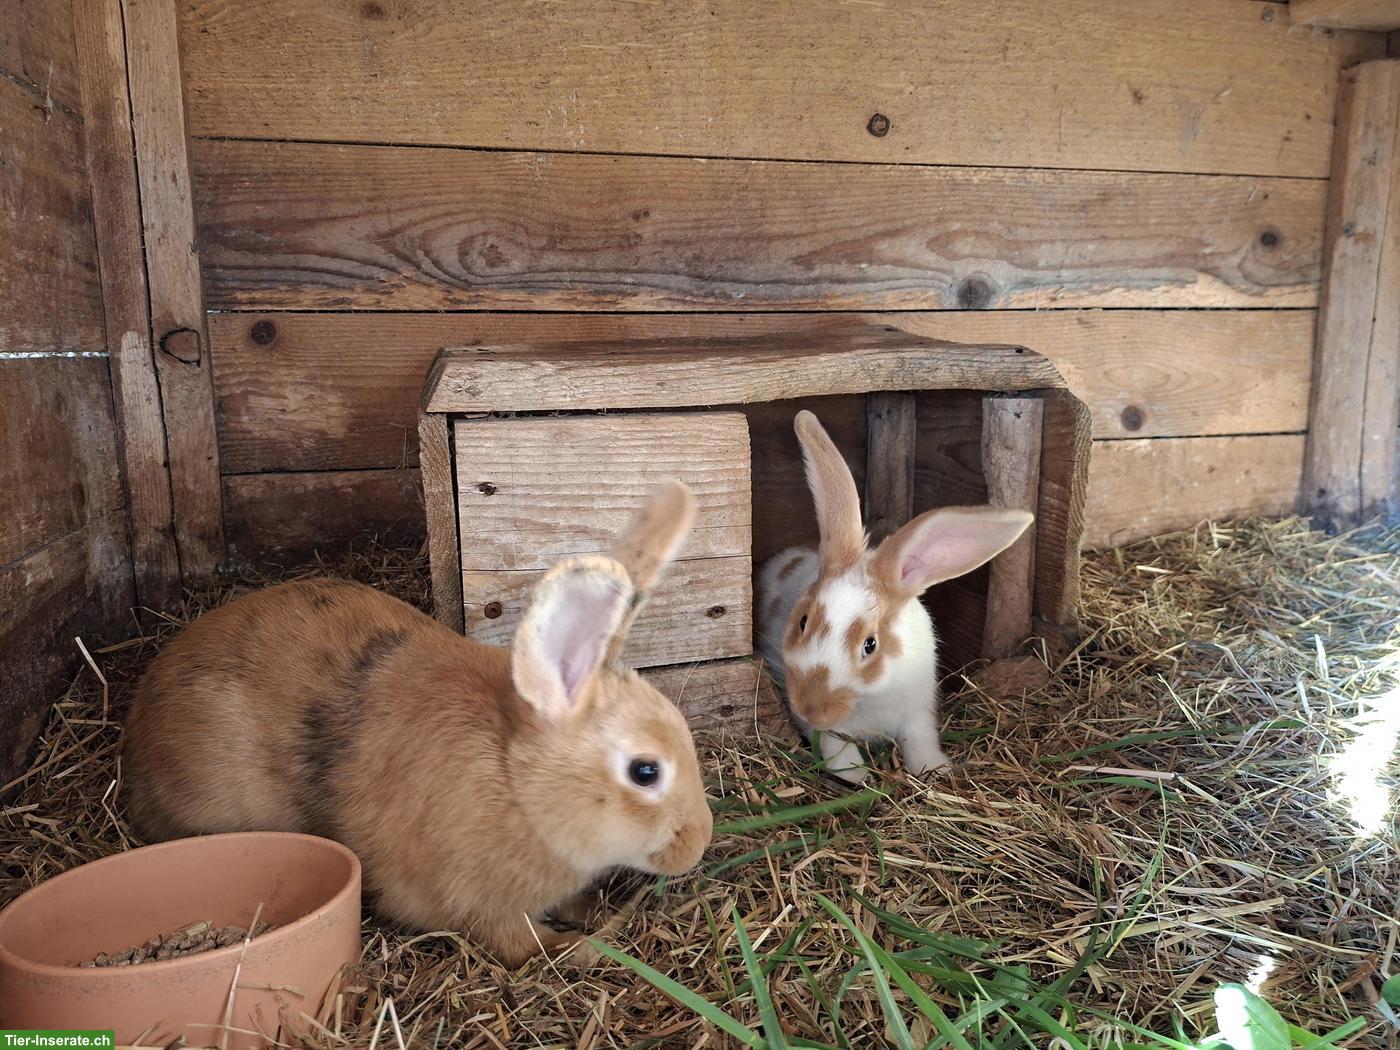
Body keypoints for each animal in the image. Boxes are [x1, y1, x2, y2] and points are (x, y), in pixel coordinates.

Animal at [123, 481, 714, 968]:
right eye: (645, 772)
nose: (699, 844)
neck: (518, 786)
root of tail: (138, 725)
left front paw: (592, 911)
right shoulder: (479, 903)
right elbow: (521, 943)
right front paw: (580, 945)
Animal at [756, 410, 1033, 785]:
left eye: (870, 645)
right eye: (802, 621)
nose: (810, 708)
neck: (873, 696)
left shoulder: (918, 712)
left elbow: (920, 741)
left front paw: (935, 768)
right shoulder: (834, 732)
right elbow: (838, 750)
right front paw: (857, 779)